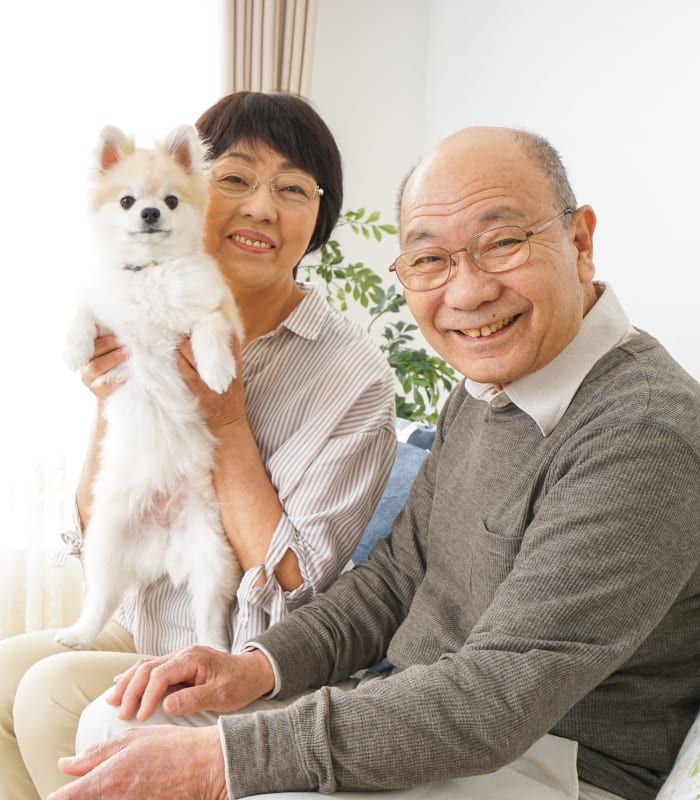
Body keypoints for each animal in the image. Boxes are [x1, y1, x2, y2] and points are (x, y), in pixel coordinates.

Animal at [54, 123, 243, 648]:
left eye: (172, 200)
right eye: (127, 201)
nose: (151, 212)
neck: (151, 273)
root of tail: (160, 545)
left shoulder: (215, 309)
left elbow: (208, 330)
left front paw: (216, 369)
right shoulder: (102, 304)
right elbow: (83, 308)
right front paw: (74, 348)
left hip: (213, 560)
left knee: (209, 621)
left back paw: (211, 655)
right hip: (104, 543)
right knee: (100, 600)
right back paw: (77, 634)